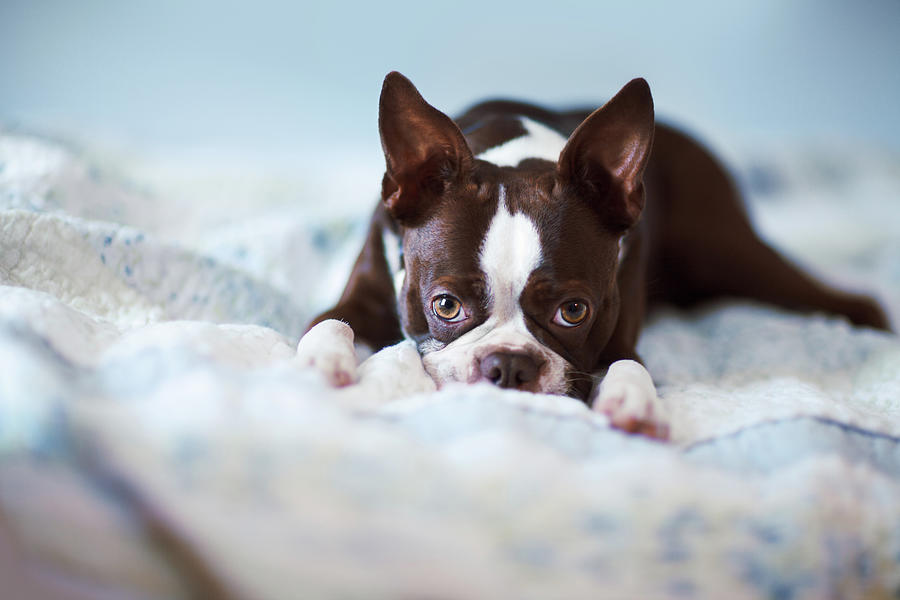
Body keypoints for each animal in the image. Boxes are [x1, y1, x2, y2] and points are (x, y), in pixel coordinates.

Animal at [298, 70, 888, 438]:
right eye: (445, 306)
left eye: (574, 311)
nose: (509, 366)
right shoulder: (367, 286)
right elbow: (329, 321)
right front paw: (324, 362)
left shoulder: (620, 325)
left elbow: (629, 361)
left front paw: (633, 401)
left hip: (731, 252)